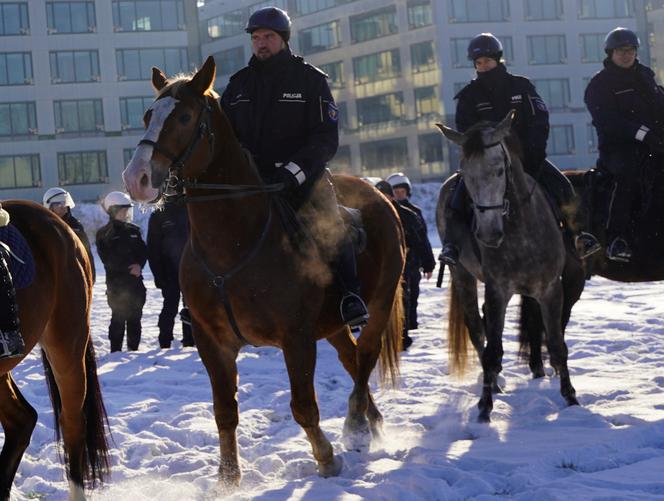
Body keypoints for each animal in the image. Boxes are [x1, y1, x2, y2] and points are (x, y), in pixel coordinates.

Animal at [123, 56, 404, 486]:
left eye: (185, 117)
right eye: (147, 116)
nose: (136, 179)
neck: (234, 244)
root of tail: (377, 194)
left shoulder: (296, 338)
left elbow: (304, 406)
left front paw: (326, 459)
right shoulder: (212, 342)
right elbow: (224, 411)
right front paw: (227, 478)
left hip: (380, 301)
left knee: (366, 355)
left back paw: (357, 422)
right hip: (332, 324)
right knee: (352, 358)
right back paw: (370, 421)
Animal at [434, 112, 580, 422]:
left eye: (500, 170)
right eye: (466, 174)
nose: (488, 234)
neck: (520, 229)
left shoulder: (551, 289)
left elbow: (557, 344)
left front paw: (571, 398)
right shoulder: (497, 290)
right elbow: (491, 349)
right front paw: (484, 407)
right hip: (462, 275)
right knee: (477, 328)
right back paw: (495, 384)